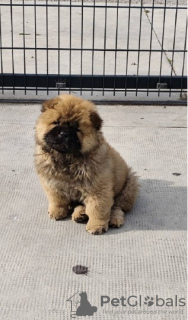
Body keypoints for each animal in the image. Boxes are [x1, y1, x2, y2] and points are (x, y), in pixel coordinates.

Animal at [34, 94, 139, 234]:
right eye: (56, 122)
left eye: (76, 128)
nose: (63, 133)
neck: (66, 159)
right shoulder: (52, 183)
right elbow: (57, 199)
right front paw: (57, 212)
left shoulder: (98, 188)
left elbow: (97, 208)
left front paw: (96, 226)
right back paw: (80, 214)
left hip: (129, 187)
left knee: (117, 206)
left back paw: (114, 219)